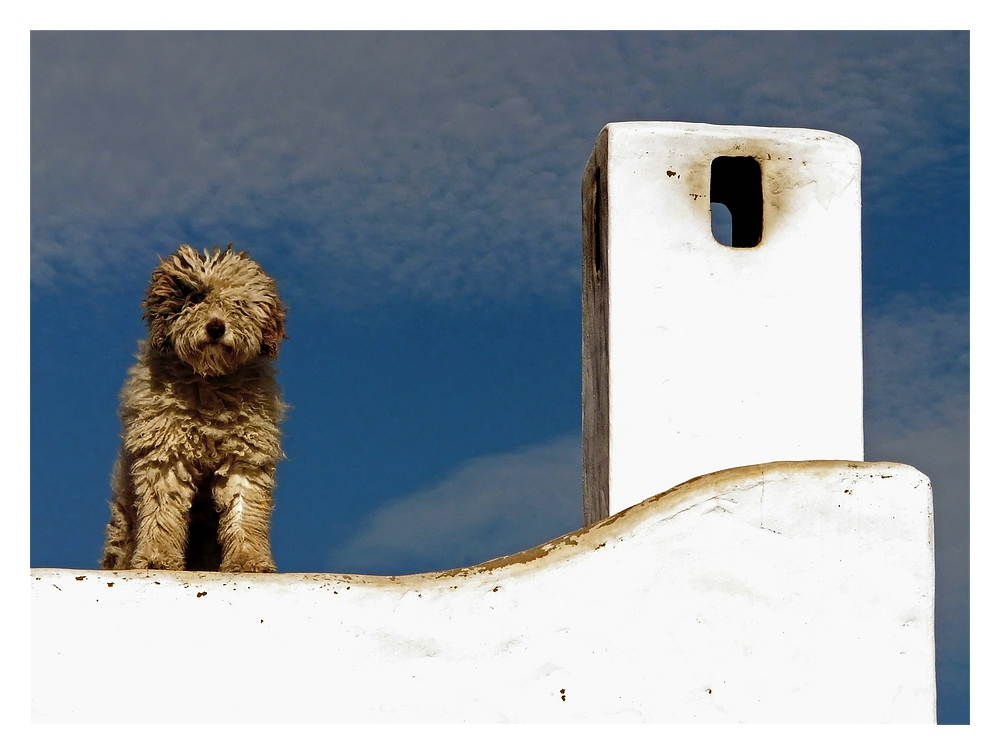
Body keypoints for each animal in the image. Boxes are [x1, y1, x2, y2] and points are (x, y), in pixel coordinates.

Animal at [102, 245, 288, 568]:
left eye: (238, 304)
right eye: (196, 298)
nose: (216, 327)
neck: (209, 382)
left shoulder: (246, 453)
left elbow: (244, 507)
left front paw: (248, 560)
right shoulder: (165, 449)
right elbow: (162, 506)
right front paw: (157, 557)